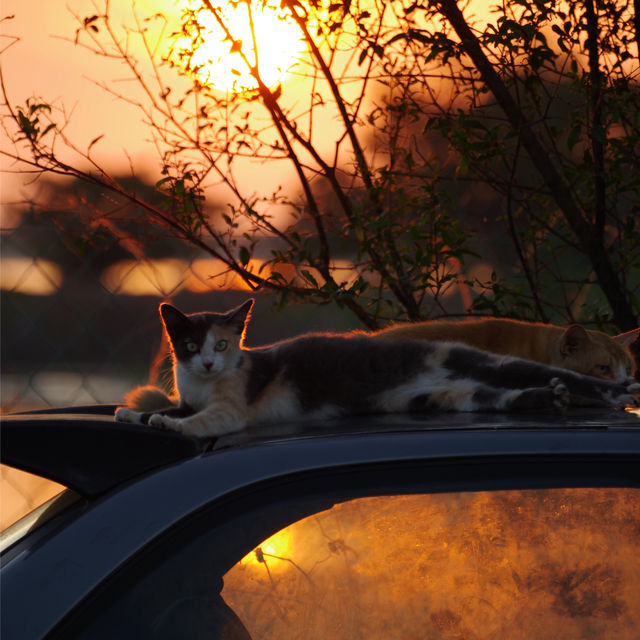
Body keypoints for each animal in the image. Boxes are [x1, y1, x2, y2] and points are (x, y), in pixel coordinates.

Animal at [115, 298, 640, 438]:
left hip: (480, 362)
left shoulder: (230, 408)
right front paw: (133, 414)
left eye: (222, 344)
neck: (203, 386)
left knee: (550, 378)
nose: (207, 360)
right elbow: (164, 410)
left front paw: (166, 423)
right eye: (189, 345)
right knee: (505, 397)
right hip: (445, 397)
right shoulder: (189, 397)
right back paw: (551, 398)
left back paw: (613, 395)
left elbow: (197, 421)